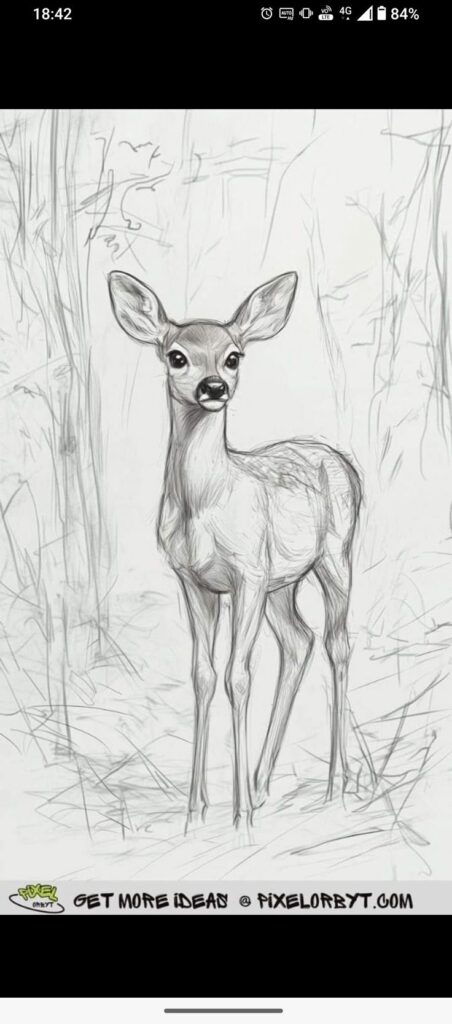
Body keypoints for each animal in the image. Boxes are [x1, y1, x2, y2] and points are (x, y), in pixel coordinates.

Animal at [108, 270, 362, 832]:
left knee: (337, 644)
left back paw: (335, 786)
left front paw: (239, 816)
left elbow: (238, 676)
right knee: (299, 641)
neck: (206, 505)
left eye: (233, 356)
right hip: (283, 583)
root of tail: (341, 460)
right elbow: (203, 675)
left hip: (334, 557)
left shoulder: (246, 575)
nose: (214, 388)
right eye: (176, 355)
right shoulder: (195, 581)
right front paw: (196, 810)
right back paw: (264, 785)